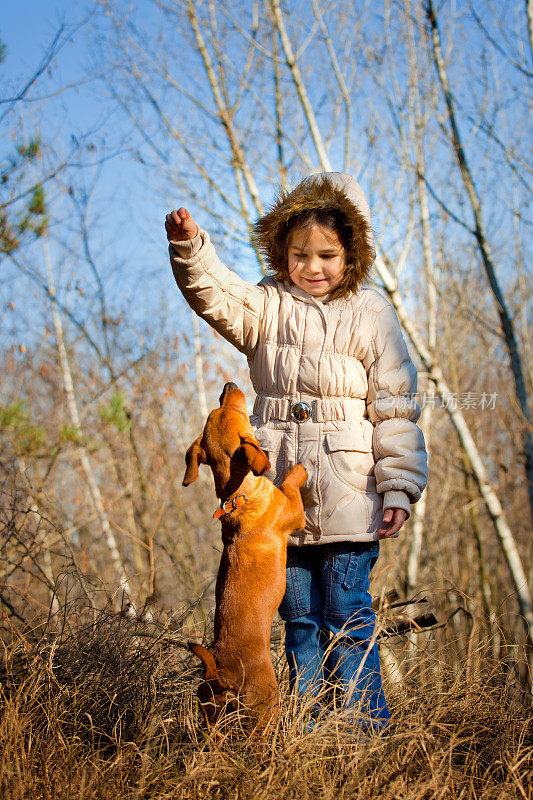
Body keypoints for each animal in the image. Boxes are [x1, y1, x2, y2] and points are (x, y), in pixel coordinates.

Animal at [184, 384, 306, 736]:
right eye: (237, 412)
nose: (229, 386)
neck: (239, 497)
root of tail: (220, 673)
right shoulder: (295, 512)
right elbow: (291, 481)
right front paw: (299, 467)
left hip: (210, 715)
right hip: (266, 708)